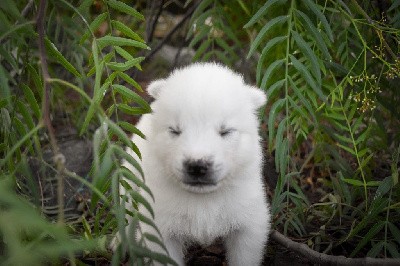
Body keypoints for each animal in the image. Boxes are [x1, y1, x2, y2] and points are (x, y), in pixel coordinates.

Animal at [122, 63, 270, 264]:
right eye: (175, 130)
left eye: (225, 131)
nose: (197, 166)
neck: (202, 200)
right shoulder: (160, 227)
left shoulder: (249, 222)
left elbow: (243, 257)